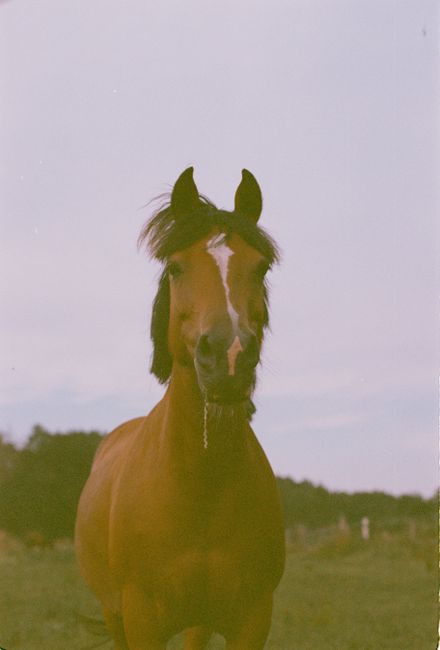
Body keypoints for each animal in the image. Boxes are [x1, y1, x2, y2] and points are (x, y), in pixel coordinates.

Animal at [75, 167, 285, 649]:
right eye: (175, 267)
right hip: (114, 615)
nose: (228, 357)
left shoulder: (252, 619)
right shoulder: (140, 619)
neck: (200, 490)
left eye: (260, 267)